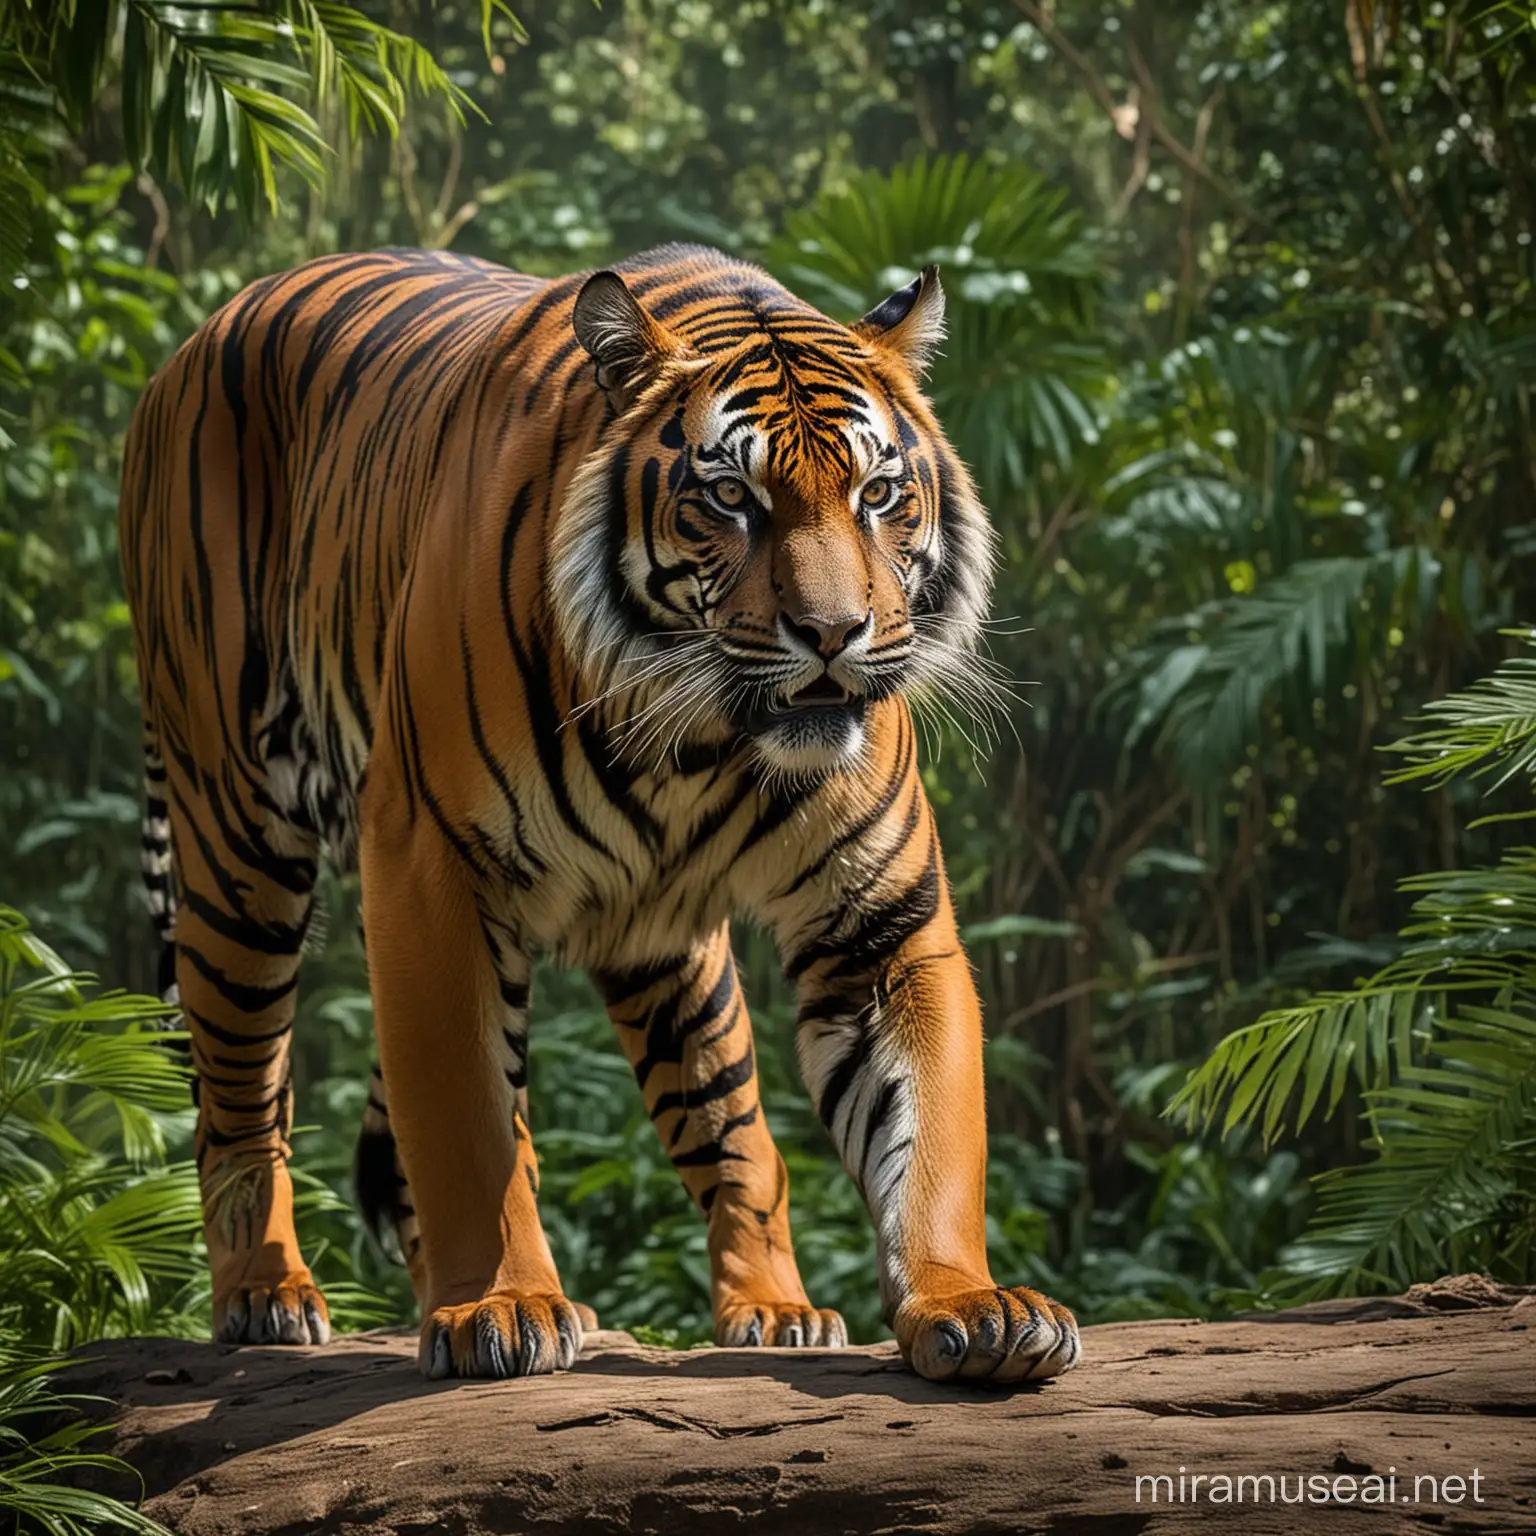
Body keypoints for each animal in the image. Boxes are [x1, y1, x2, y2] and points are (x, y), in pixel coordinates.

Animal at [119, 245, 1081, 1388]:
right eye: (731, 497)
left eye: (879, 493)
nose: (834, 634)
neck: (700, 738)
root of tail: (194, 341)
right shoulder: (430, 869)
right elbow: (465, 1123)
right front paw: (497, 1305)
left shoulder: (879, 924)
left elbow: (927, 1127)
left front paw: (972, 1304)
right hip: (238, 850)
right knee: (240, 1098)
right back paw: (267, 1295)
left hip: (667, 956)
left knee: (739, 1143)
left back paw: (775, 1309)